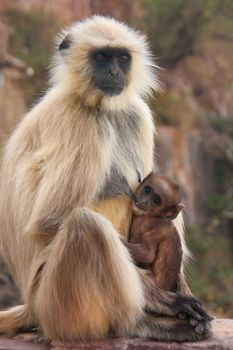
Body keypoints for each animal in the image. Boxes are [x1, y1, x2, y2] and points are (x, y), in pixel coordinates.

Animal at [0, 16, 212, 342]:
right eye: (101, 57)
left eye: (121, 58)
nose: (113, 71)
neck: (99, 107)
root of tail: (32, 308)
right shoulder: (83, 123)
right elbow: (51, 220)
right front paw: (163, 299)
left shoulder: (136, 113)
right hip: (55, 304)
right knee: (86, 225)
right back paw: (141, 323)